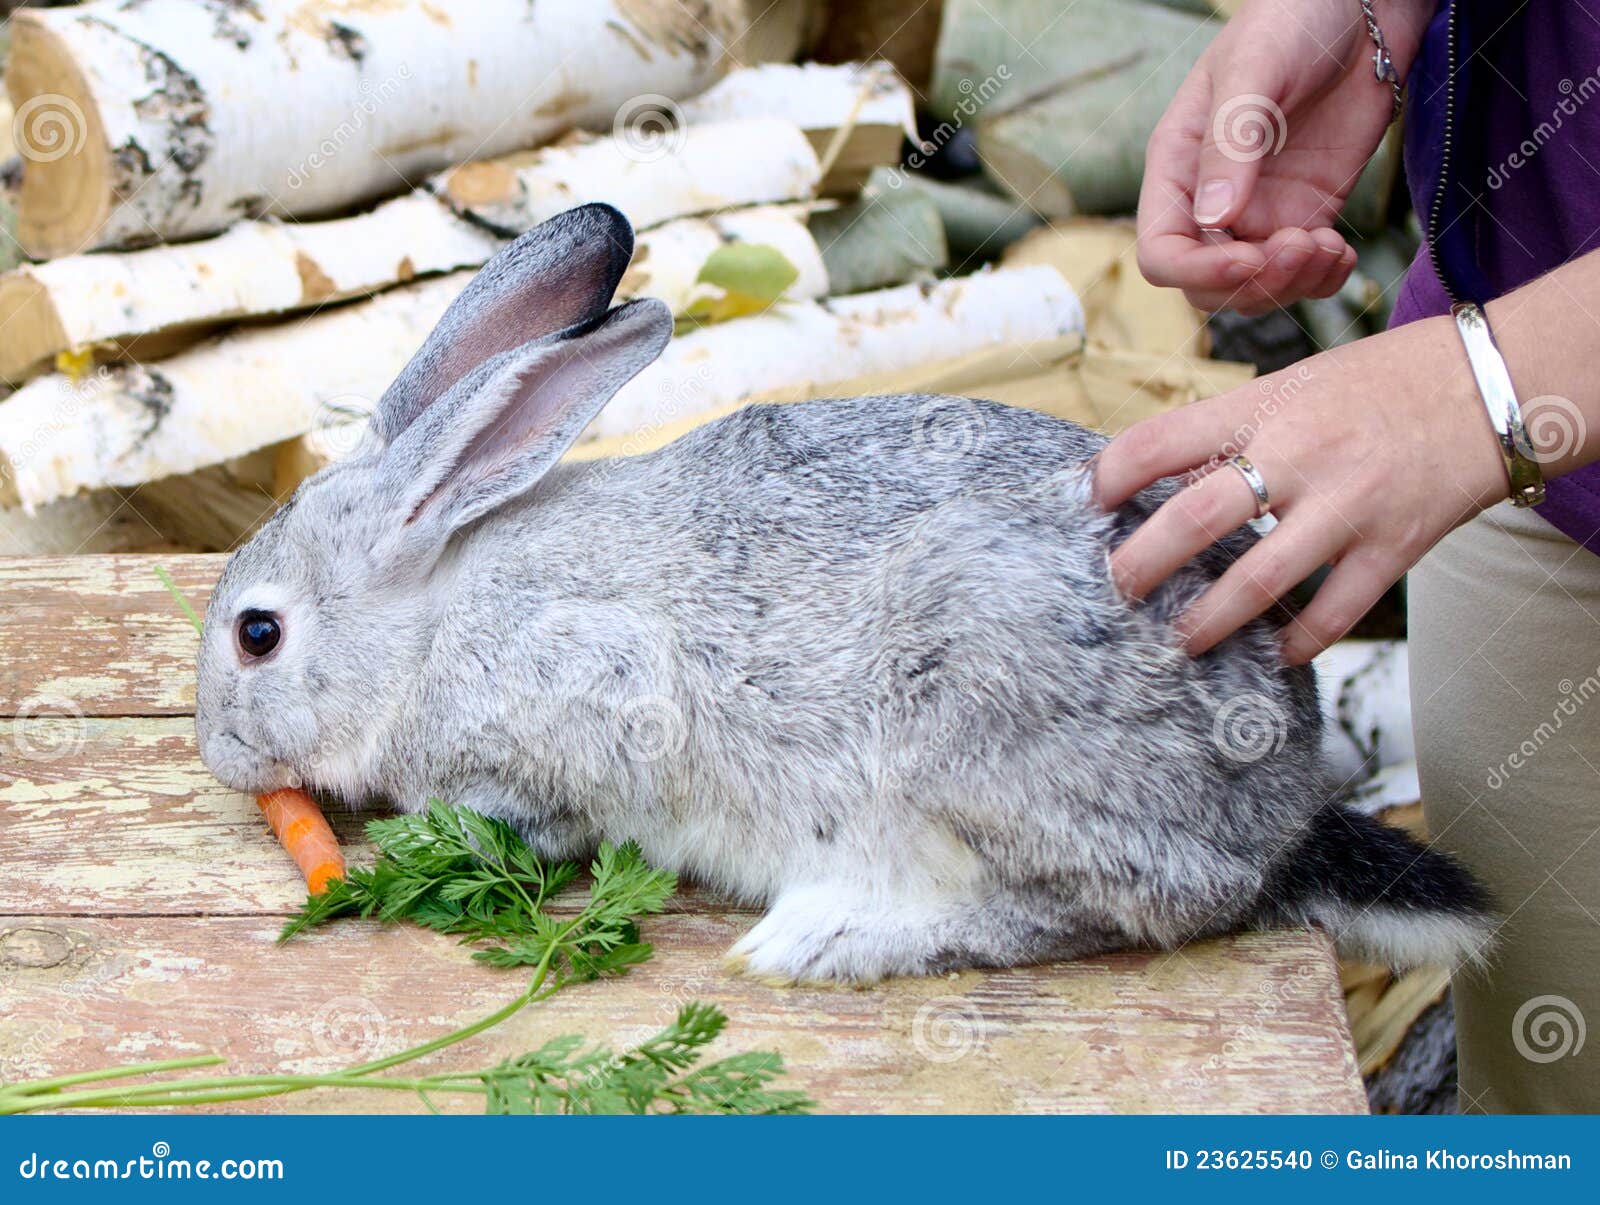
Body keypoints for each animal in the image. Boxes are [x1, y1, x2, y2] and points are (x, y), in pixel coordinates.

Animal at [195, 202, 1493, 984]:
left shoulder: (593, 694)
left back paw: (825, 936)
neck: (432, 613)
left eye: (260, 633)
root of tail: (1281, 809)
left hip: (979, 723)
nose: (216, 752)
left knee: (1105, 907)